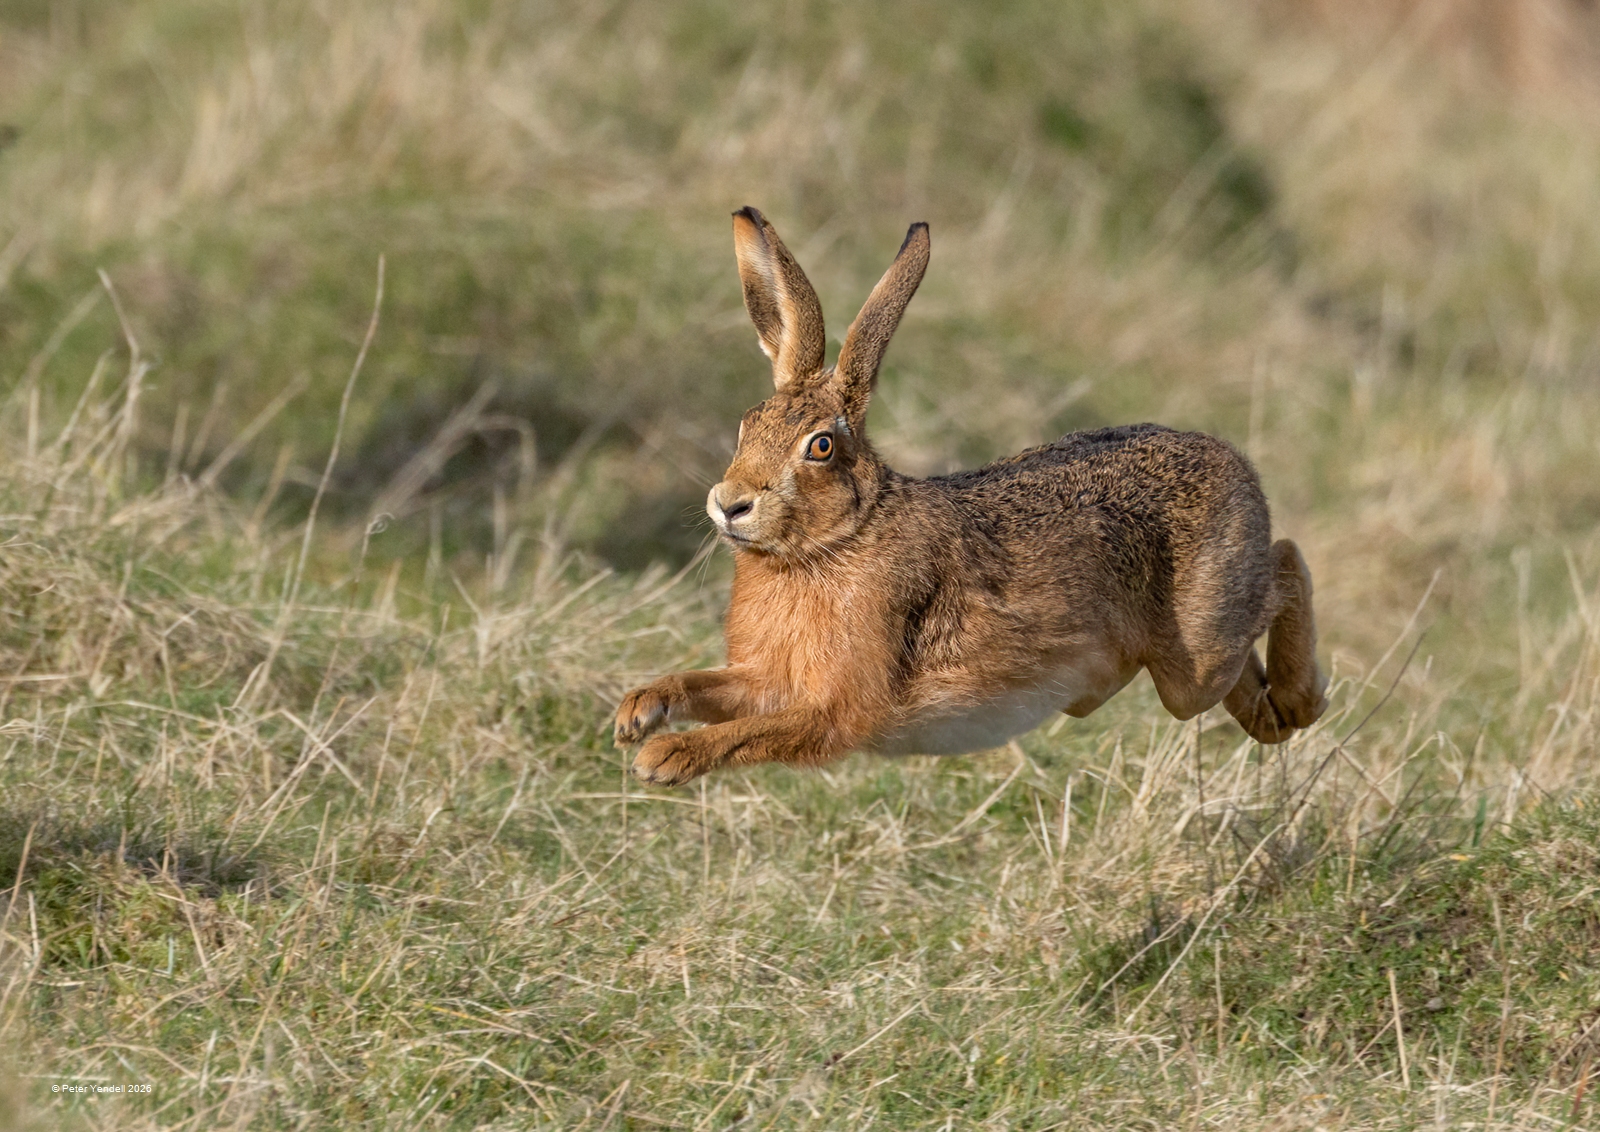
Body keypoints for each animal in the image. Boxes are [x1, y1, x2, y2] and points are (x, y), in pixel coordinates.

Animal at [614, 207, 1328, 786]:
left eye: (819, 446)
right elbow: (709, 686)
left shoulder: (839, 709)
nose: (729, 503)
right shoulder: (766, 680)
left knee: (1286, 565)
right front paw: (637, 712)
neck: (838, 538)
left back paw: (1306, 696)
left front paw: (664, 757)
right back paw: (1279, 711)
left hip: (1199, 648)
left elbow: (752, 734)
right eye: (748, 423)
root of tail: (1234, 463)